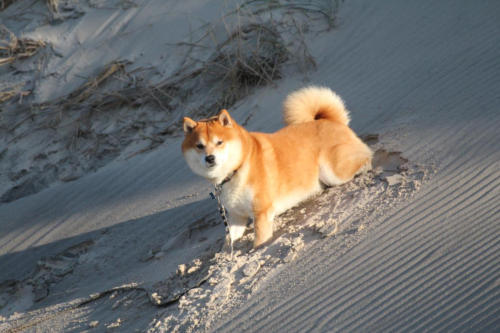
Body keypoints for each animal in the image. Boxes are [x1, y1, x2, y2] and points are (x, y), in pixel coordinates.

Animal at [183, 85, 372, 246]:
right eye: (199, 146)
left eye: (219, 142)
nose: (210, 158)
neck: (236, 170)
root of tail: (331, 121)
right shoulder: (236, 217)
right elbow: (229, 240)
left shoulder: (261, 212)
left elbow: (259, 242)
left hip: (332, 172)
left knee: (365, 156)